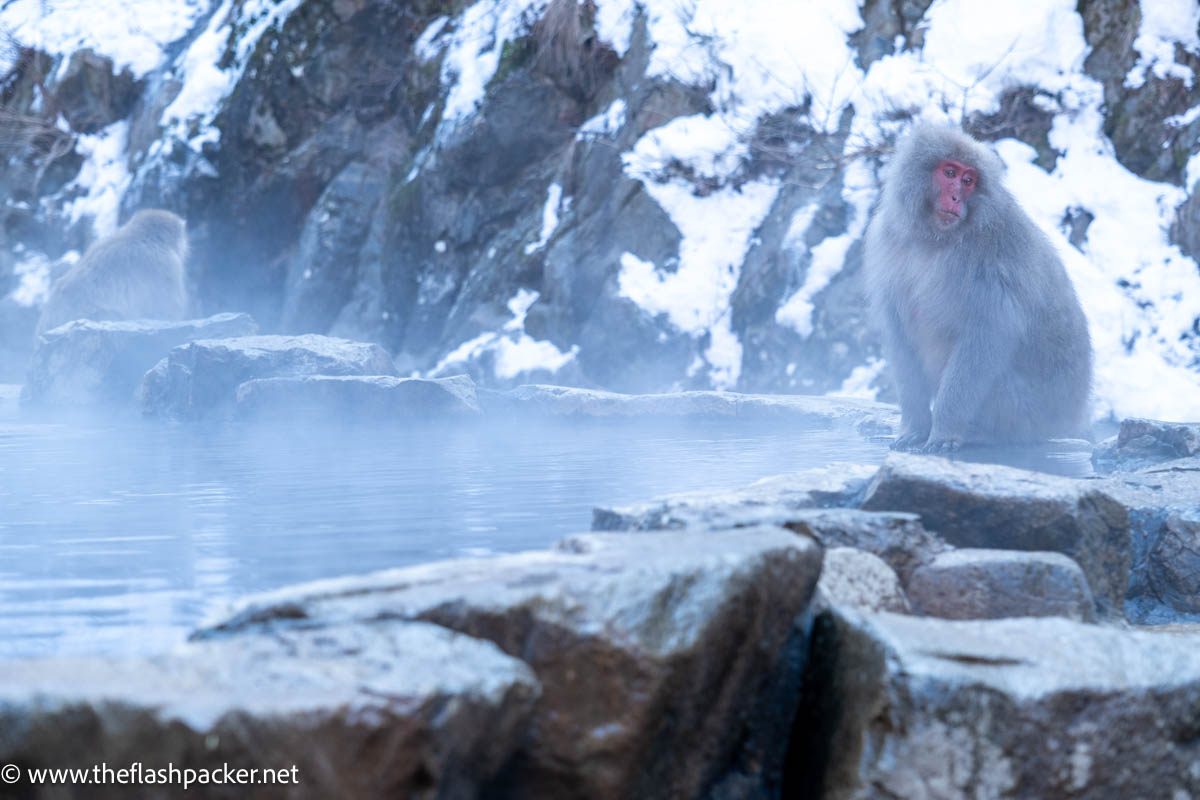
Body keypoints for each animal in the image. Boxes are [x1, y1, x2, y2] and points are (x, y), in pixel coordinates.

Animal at [864, 124, 1099, 450]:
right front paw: (915, 427)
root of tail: (1067, 419)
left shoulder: (991, 258)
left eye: (968, 181)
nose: (955, 198)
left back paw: (981, 434)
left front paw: (944, 430)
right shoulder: (888, 240)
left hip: (1027, 410)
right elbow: (899, 334)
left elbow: (986, 334)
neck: (934, 239)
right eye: (949, 172)